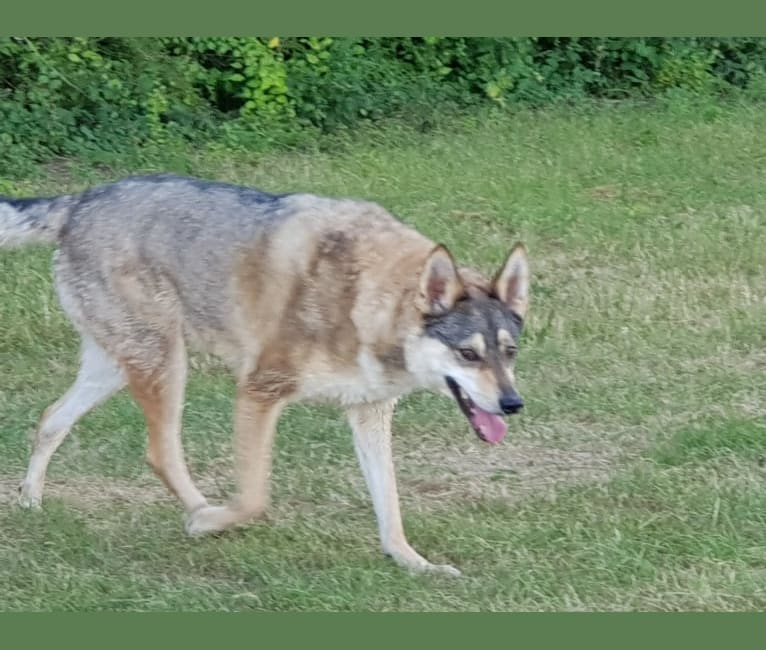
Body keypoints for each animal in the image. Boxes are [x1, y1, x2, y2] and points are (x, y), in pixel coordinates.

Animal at [0, 172, 532, 572]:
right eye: (468, 354)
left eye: (509, 352)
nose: (513, 404)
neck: (367, 299)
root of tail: (82, 200)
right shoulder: (258, 392)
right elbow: (255, 498)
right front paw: (214, 521)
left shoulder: (369, 412)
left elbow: (391, 508)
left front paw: (413, 563)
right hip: (166, 364)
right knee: (159, 452)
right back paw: (200, 513)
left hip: (115, 367)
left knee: (50, 419)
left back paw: (30, 502)